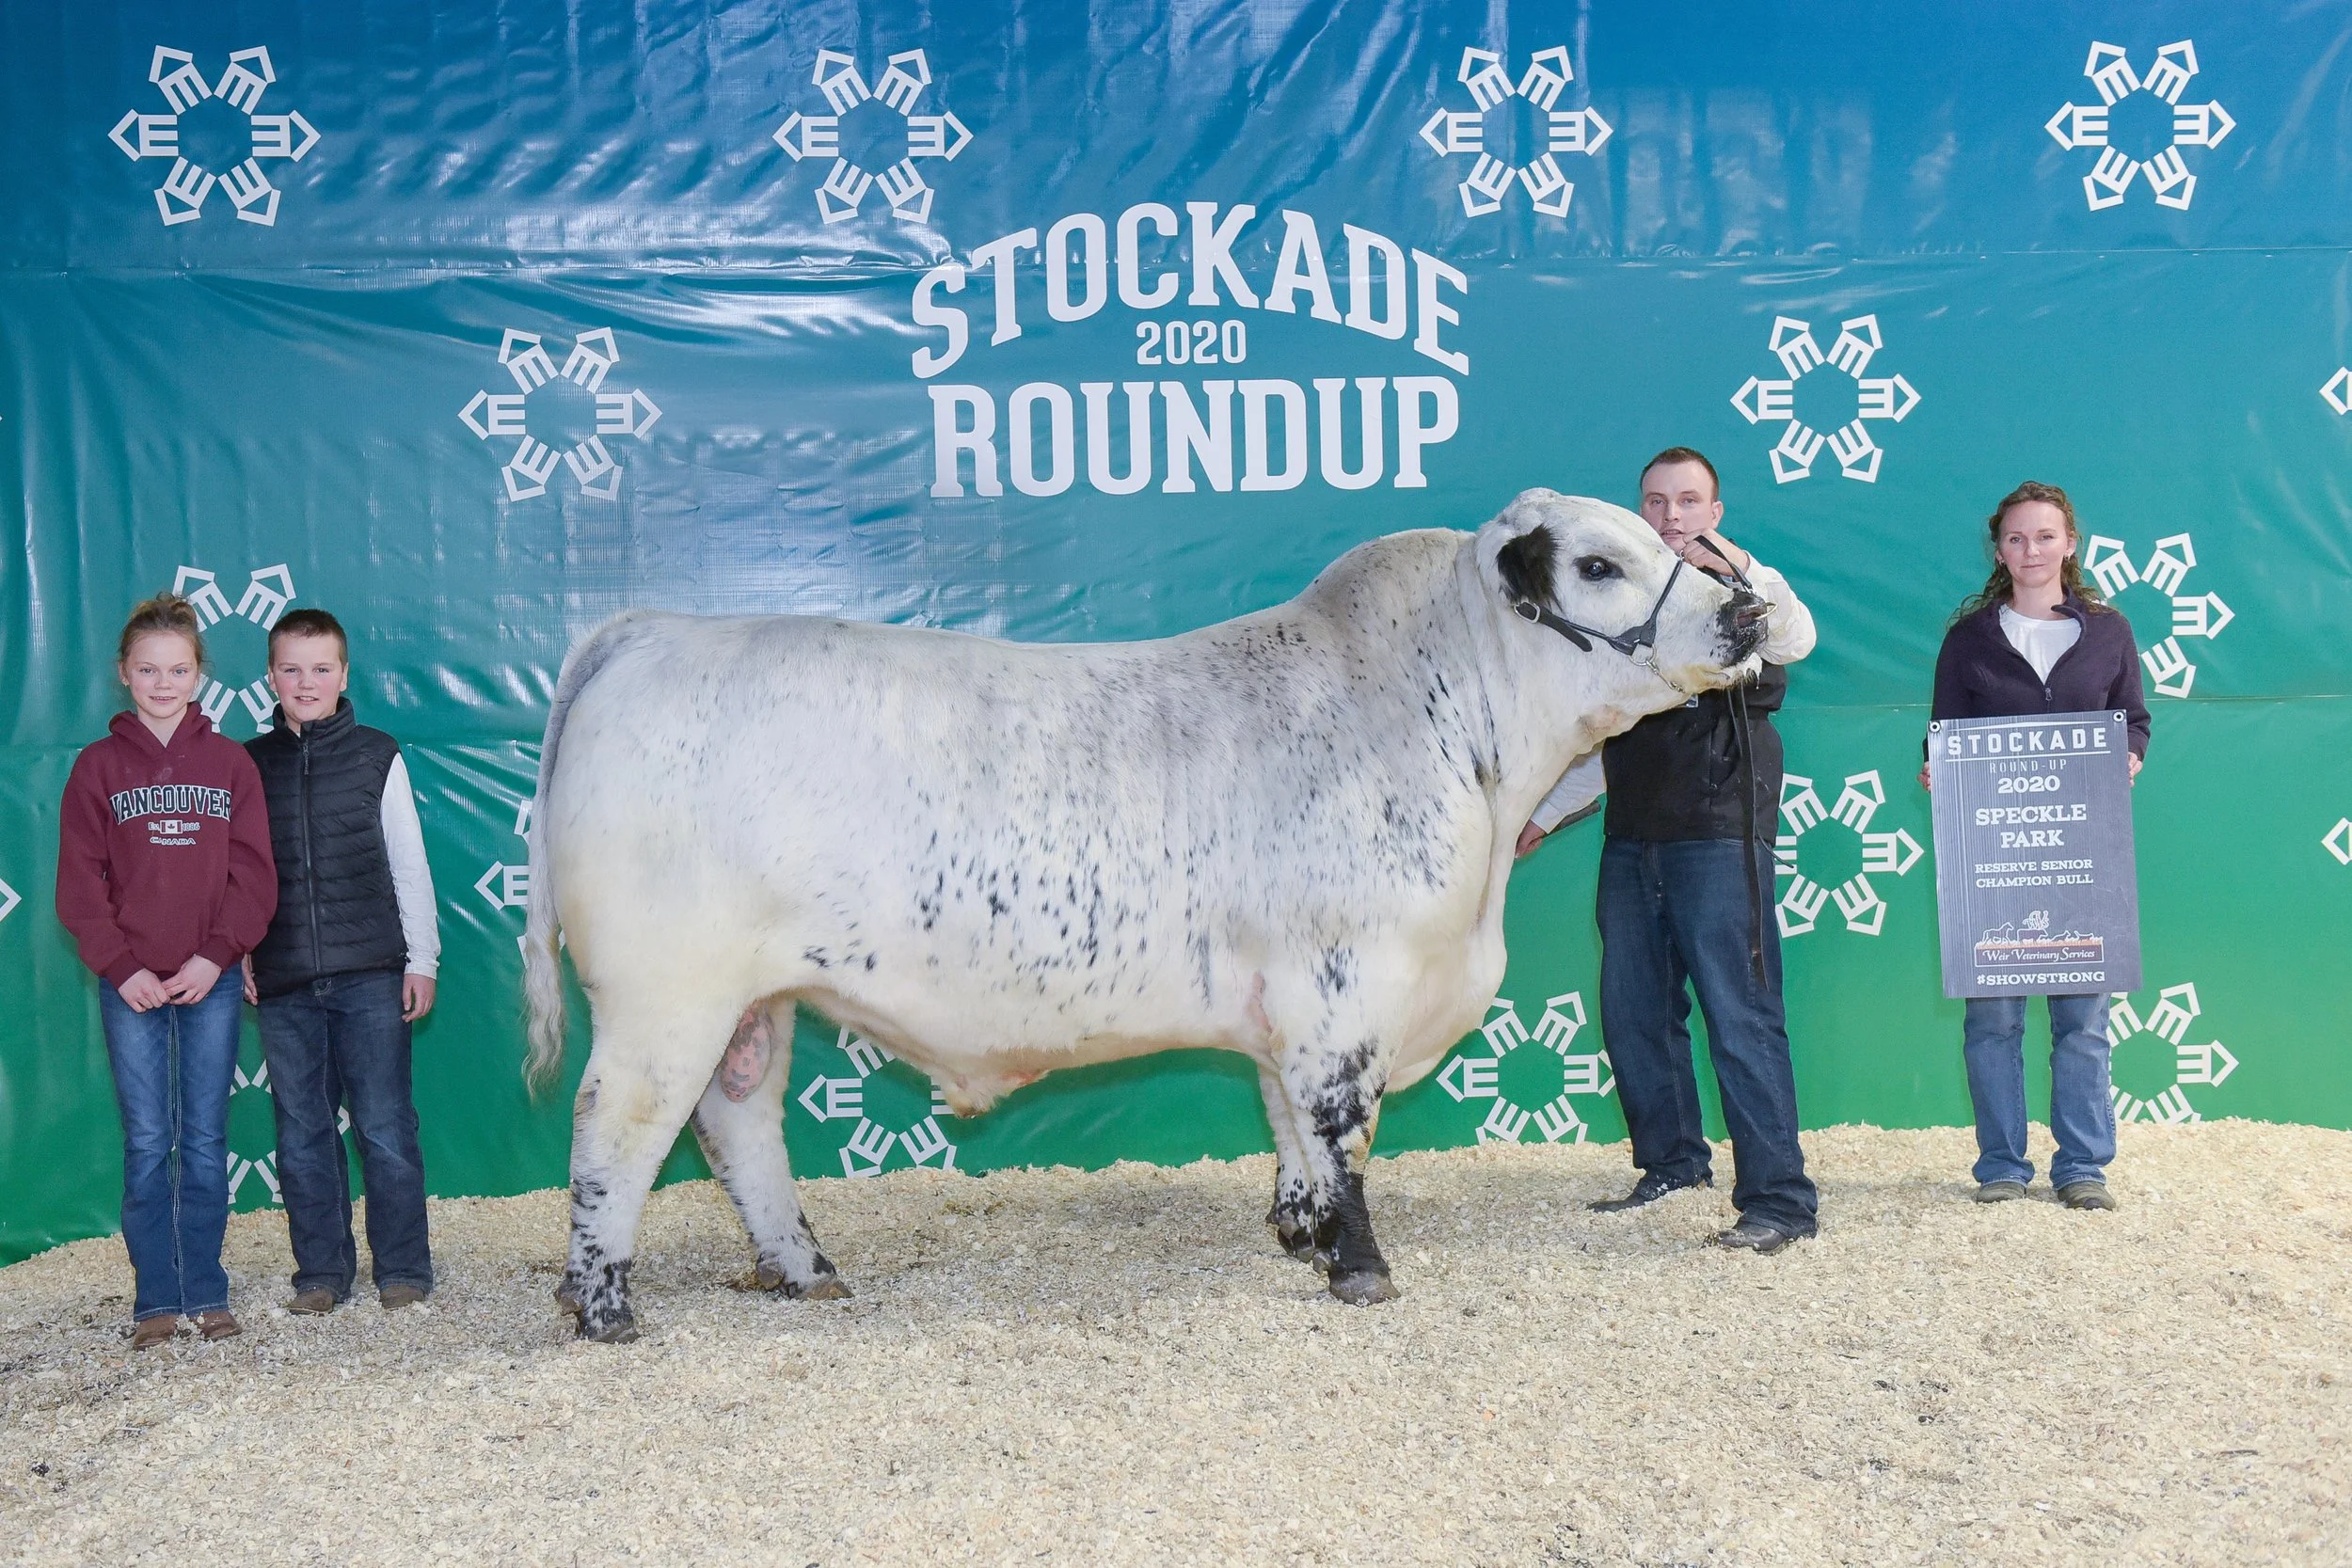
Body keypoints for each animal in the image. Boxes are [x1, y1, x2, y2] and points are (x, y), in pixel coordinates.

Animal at [523, 488, 1767, 1340]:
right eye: (1600, 563)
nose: (1750, 609)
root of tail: (649, 629)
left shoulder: (1288, 1002)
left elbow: (1288, 1128)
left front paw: (1302, 1236)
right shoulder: (1347, 989)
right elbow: (1340, 1130)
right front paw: (1361, 1267)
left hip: (753, 997)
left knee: (737, 1121)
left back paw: (804, 1266)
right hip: (665, 994)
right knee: (615, 1128)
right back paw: (604, 1305)